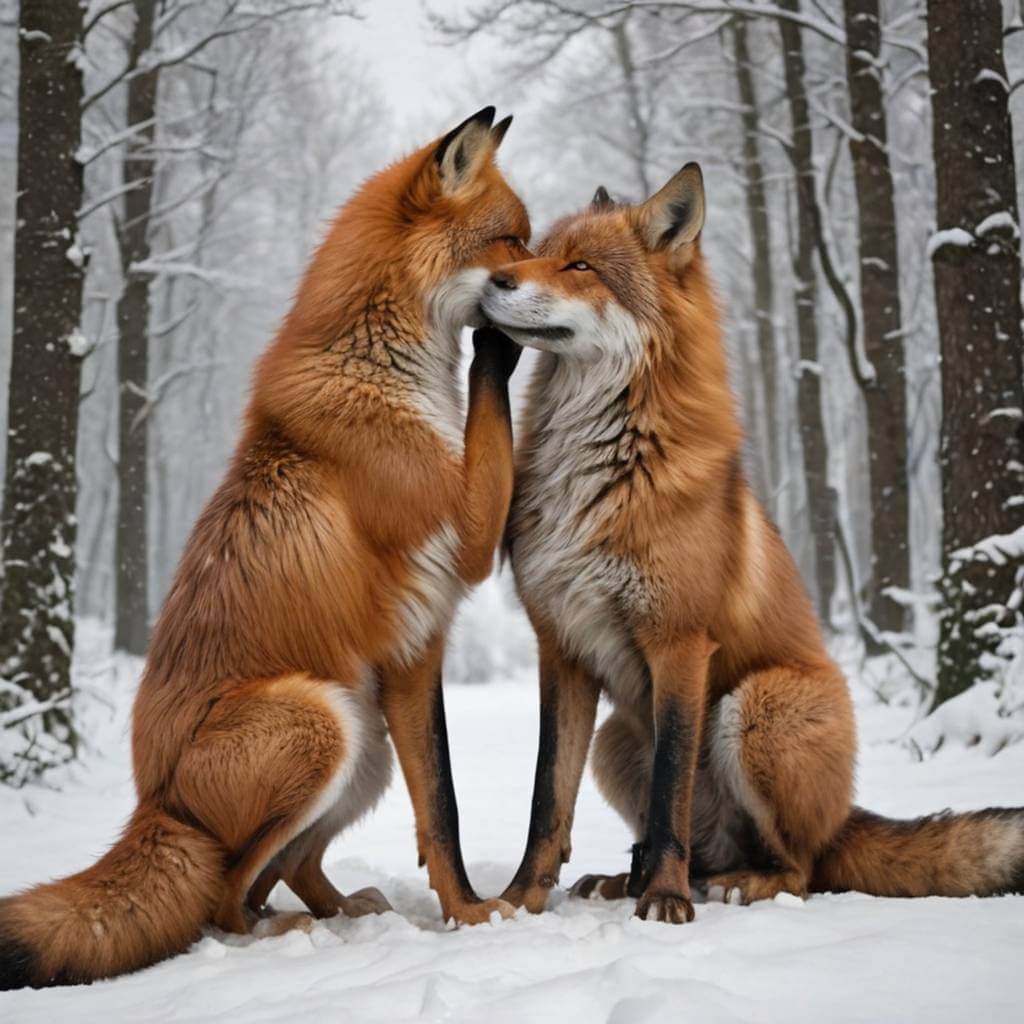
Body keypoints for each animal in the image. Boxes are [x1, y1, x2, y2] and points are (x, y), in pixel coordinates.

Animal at [0, 106, 531, 990]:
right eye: (514, 242)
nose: (557, 273)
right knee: (226, 897)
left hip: (364, 739)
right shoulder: (458, 559)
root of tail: (154, 805)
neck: (379, 367)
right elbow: (446, 810)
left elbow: (439, 804)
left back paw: (345, 911)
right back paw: (280, 933)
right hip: (321, 723)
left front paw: (462, 912)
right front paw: (471, 915)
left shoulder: (416, 651)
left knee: (286, 867)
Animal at [479, 165, 1024, 924]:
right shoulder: (561, 649)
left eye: (580, 266)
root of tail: (843, 816)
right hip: (618, 739)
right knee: (695, 842)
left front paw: (667, 900)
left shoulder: (680, 643)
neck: (602, 468)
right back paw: (627, 879)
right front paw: (520, 898)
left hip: (755, 706)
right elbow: (546, 800)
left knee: (799, 866)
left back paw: (734, 884)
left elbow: (670, 793)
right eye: (535, 251)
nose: (492, 277)